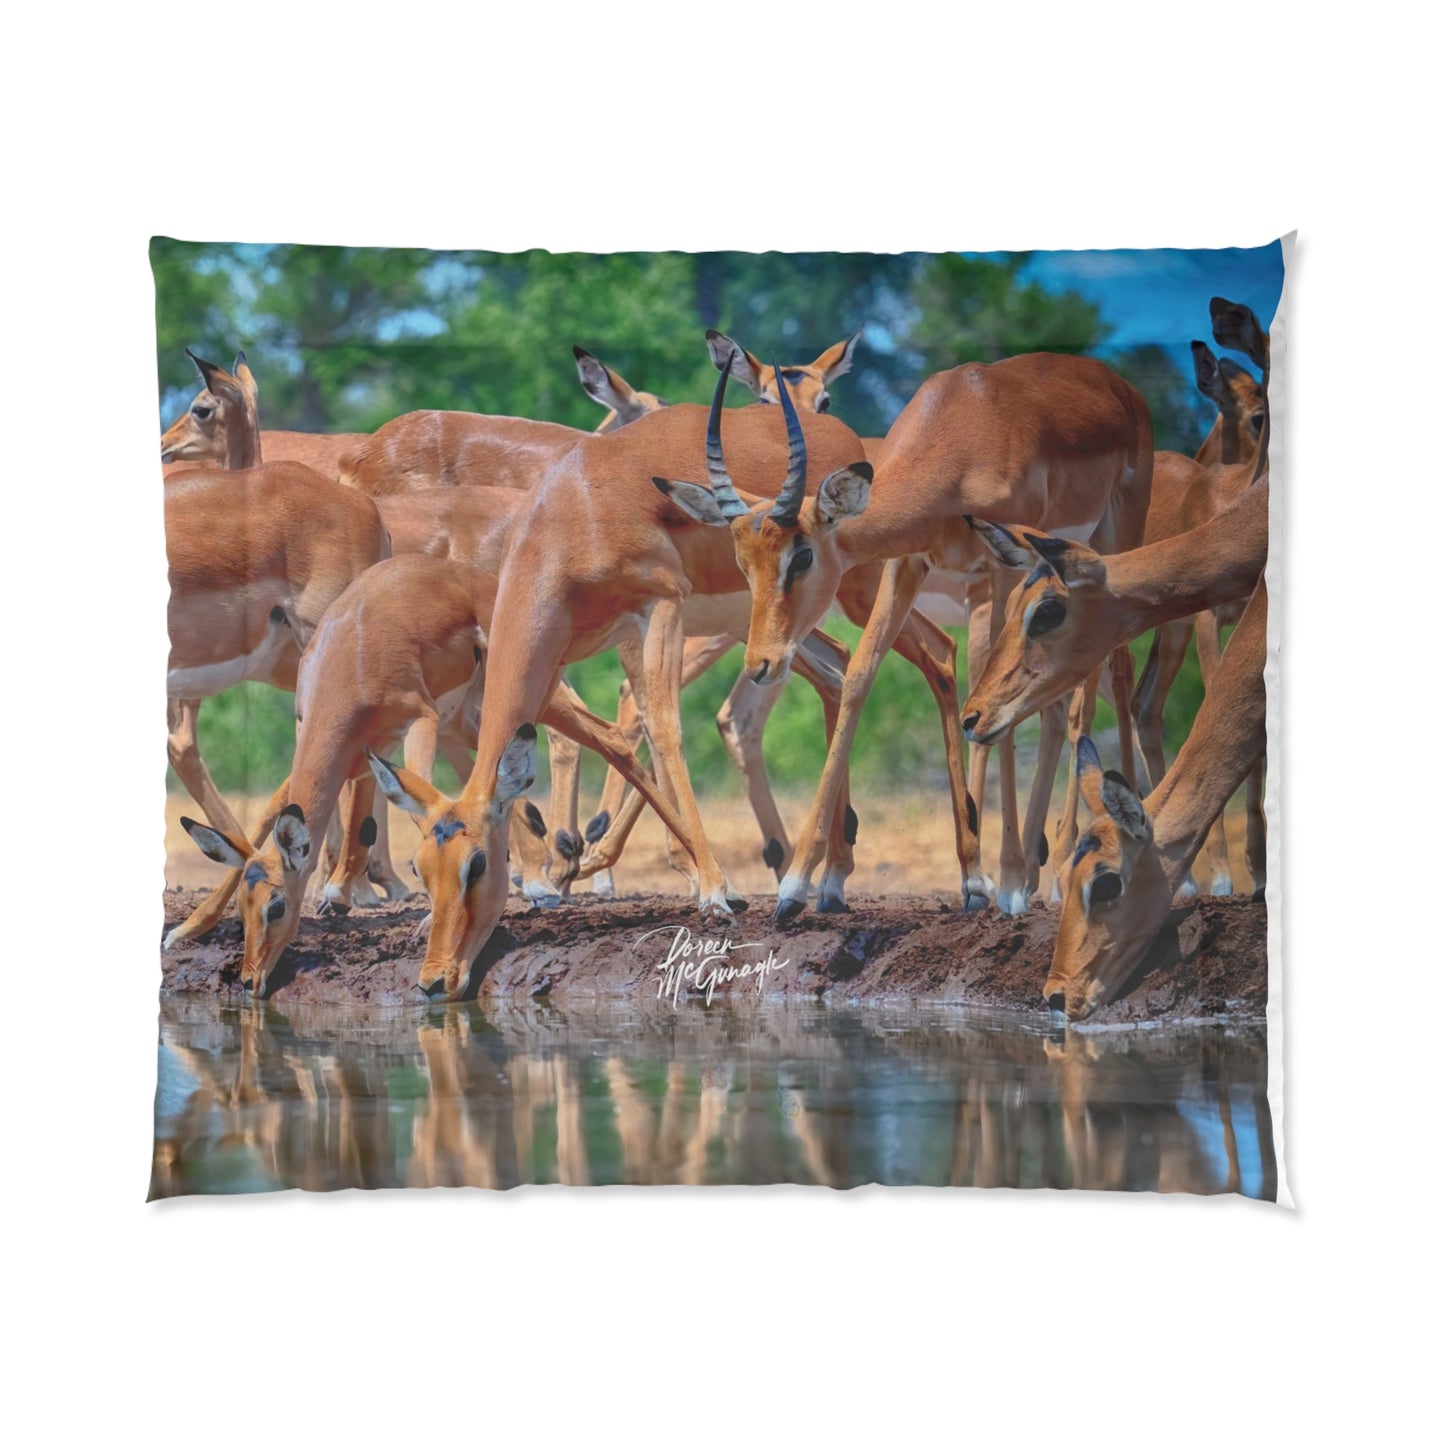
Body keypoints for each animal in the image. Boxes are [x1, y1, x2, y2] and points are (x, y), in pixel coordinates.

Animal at [660, 351, 1154, 921]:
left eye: (801, 556)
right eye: (743, 562)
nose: (761, 663)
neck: (961, 432)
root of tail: (1116, 384)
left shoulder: (1003, 569)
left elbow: (993, 699)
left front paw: (999, 882)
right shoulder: (906, 561)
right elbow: (859, 677)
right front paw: (800, 887)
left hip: (1111, 540)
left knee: (1111, 675)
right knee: (1058, 699)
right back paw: (1038, 869)